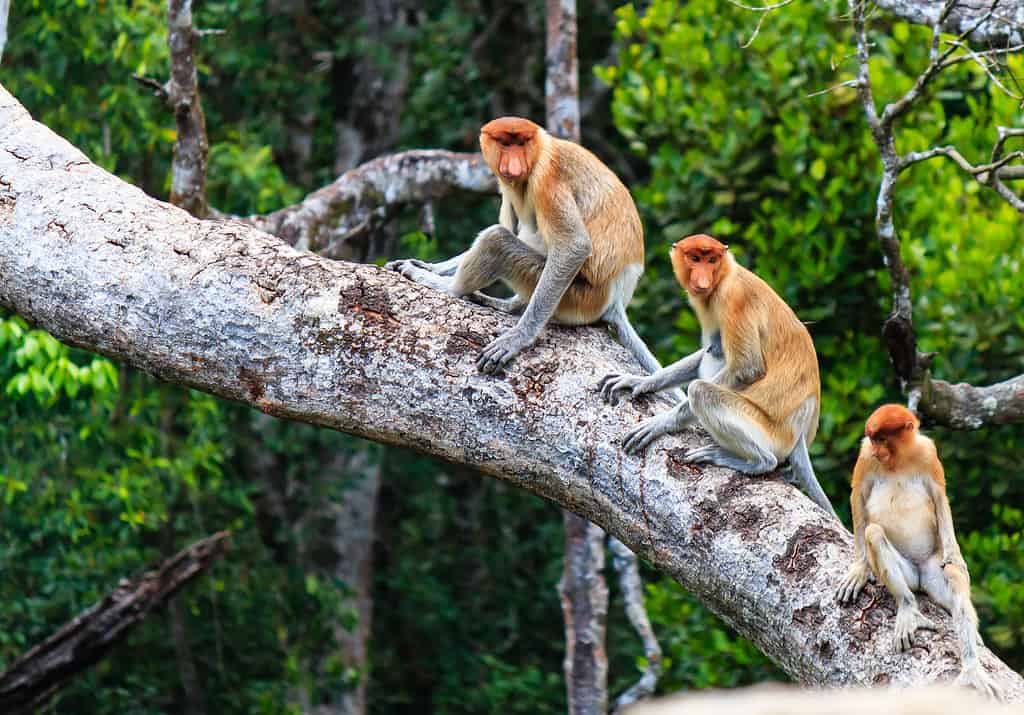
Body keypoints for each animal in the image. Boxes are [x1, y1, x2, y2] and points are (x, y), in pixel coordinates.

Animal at [385, 115, 663, 379]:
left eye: (521, 143)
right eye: (505, 144)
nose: (514, 166)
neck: (540, 150)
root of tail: (616, 299)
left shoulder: (546, 178)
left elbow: (574, 246)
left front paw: (516, 339)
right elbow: (509, 223)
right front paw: (427, 265)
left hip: (579, 298)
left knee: (497, 240)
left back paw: (449, 287)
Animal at [598, 233, 835, 518]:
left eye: (712, 260)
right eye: (695, 258)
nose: (703, 280)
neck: (726, 274)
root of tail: (800, 432)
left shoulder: (733, 299)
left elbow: (746, 368)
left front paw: (660, 423)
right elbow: (706, 351)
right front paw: (640, 382)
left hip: (769, 431)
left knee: (702, 390)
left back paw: (756, 462)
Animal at [835, 405, 1003, 696]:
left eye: (882, 438)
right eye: (873, 439)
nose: (877, 451)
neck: (898, 459)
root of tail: (920, 574)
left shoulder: (927, 454)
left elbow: (939, 496)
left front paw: (956, 557)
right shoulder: (865, 457)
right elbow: (858, 494)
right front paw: (859, 570)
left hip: (933, 569)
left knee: (953, 578)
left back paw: (971, 668)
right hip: (909, 575)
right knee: (874, 533)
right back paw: (908, 610)